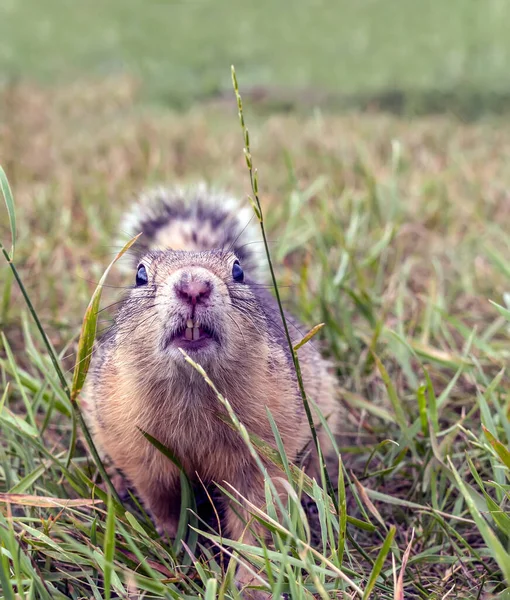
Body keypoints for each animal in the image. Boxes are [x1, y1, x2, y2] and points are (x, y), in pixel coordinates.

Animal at [81, 185, 340, 596]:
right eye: (140, 273)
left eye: (238, 270)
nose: (193, 286)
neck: (194, 392)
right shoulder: (140, 448)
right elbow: (162, 498)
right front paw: (172, 540)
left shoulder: (260, 452)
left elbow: (256, 517)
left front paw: (252, 581)